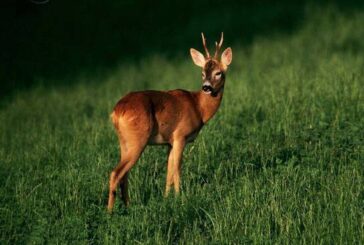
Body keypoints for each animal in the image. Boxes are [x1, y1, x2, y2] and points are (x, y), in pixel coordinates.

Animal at [109, 32, 233, 212]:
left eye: (218, 73)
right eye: (203, 73)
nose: (206, 87)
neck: (198, 107)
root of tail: (117, 112)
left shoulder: (169, 142)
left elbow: (168, 172)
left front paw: (166, 198)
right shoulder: (180, 136)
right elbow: (177, 169)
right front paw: (180, 198)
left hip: (124, 142)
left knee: (124, 174)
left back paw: (128, 205)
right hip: (137, 139)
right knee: (116, 173)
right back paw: (110, 212)